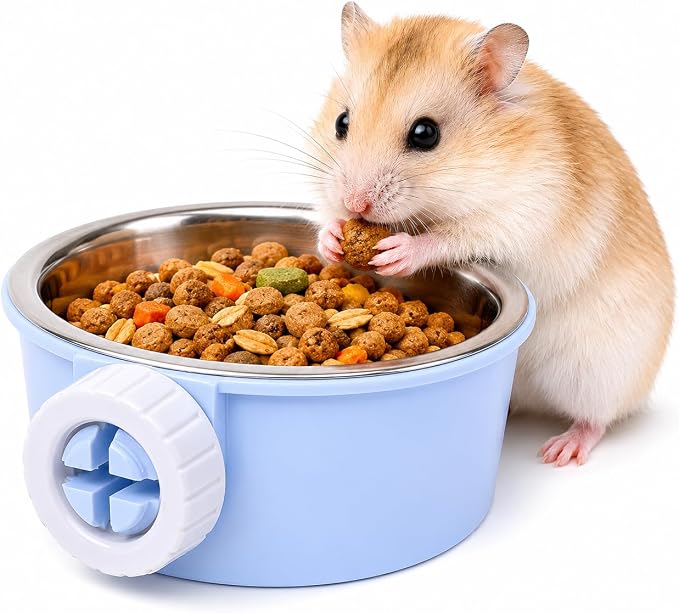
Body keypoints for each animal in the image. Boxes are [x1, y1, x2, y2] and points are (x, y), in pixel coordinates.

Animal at [310, 3, 675, 466]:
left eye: (425, 134)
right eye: (342, 122)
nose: (356, 204)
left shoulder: (520, 213)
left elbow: (452, 238)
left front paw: (396, 249)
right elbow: (325, 214)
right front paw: (333, 239)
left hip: (604, 372)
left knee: (597, 419)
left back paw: (559, 452)